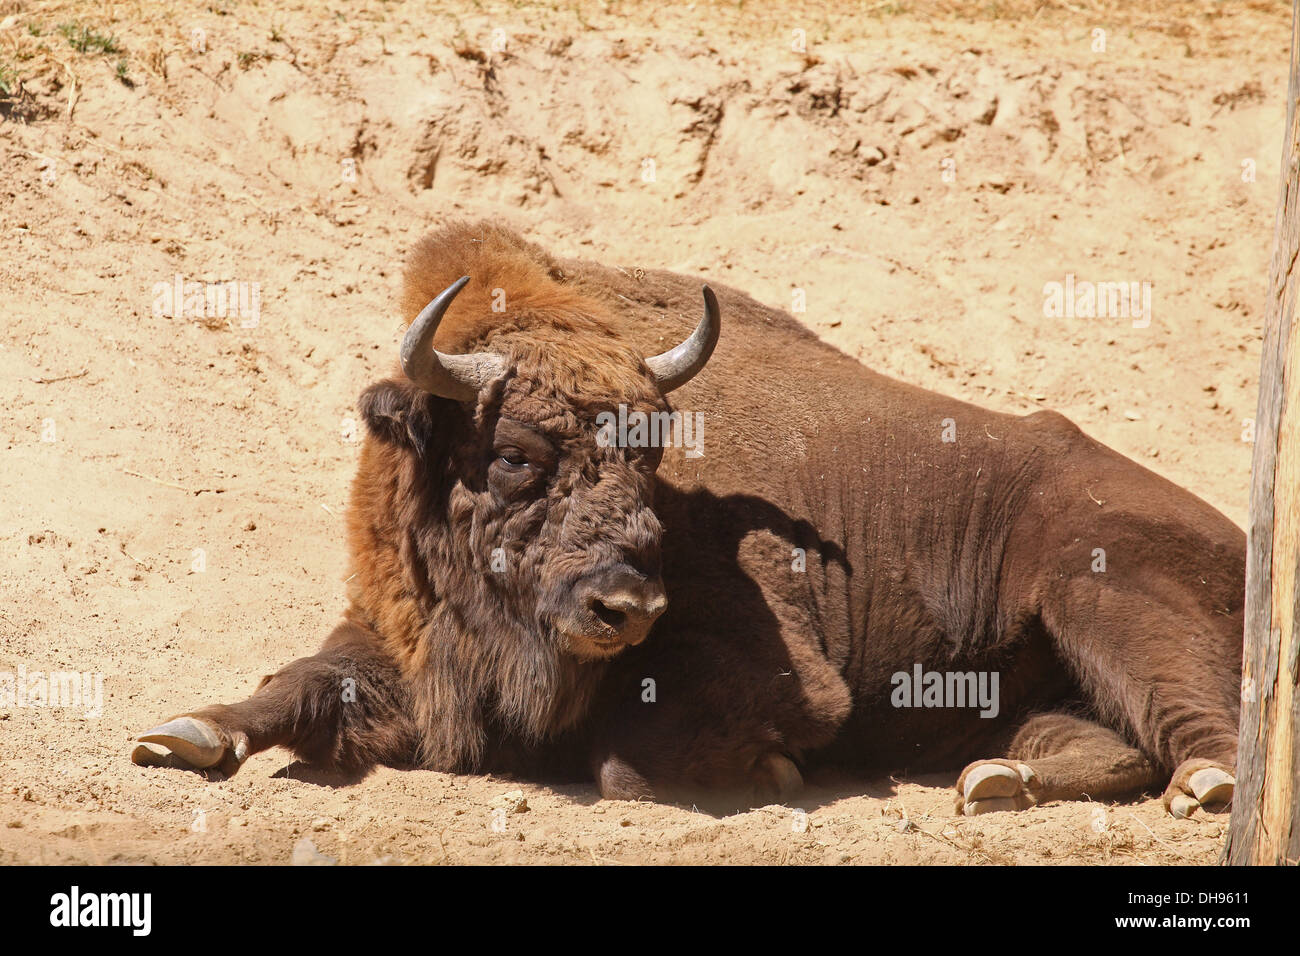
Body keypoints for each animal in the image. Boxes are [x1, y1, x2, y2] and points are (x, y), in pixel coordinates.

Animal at [131, 221, 1237, 816]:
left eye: (652, 457)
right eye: (512, 455)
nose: (625, 606)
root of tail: (1236, 537)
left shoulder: (785, 673)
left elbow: (627, 758)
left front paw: (771, 767)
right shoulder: (398, 644)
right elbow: (302, 679)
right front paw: (184, 734)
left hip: (1109, 596)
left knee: (1189, 725)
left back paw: (1209, 788)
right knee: (1106, 741)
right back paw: (997, 780)